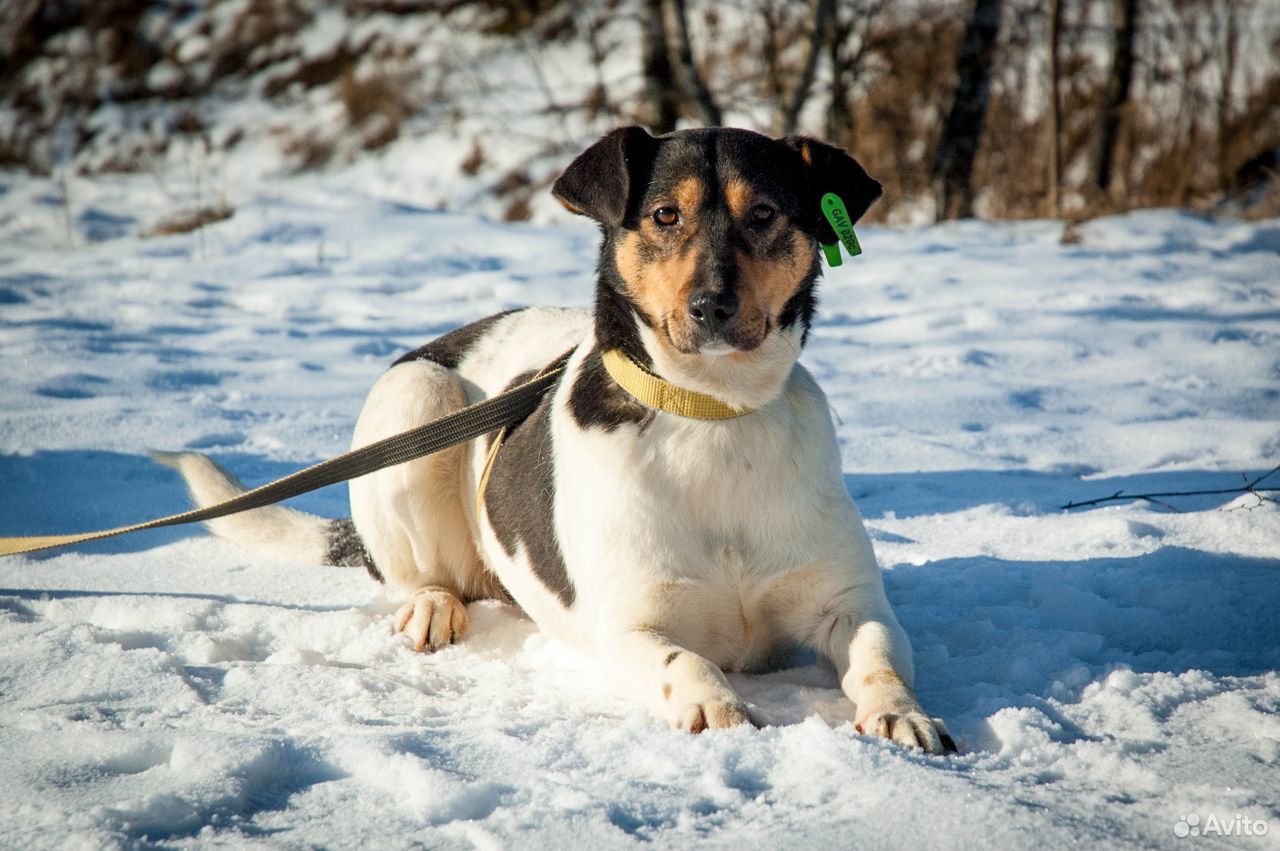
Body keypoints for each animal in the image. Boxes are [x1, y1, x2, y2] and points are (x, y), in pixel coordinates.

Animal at [165, 124, 957, 752]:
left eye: (763, 213)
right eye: (665, 214)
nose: (711, 306)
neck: (710, 411)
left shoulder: (850, 603)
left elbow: (880, 655)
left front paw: (903, 713)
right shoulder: (630, 624)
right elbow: (687, 663)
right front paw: (717, 707)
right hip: (417, 400)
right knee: (416, 573)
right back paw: (432, 605)